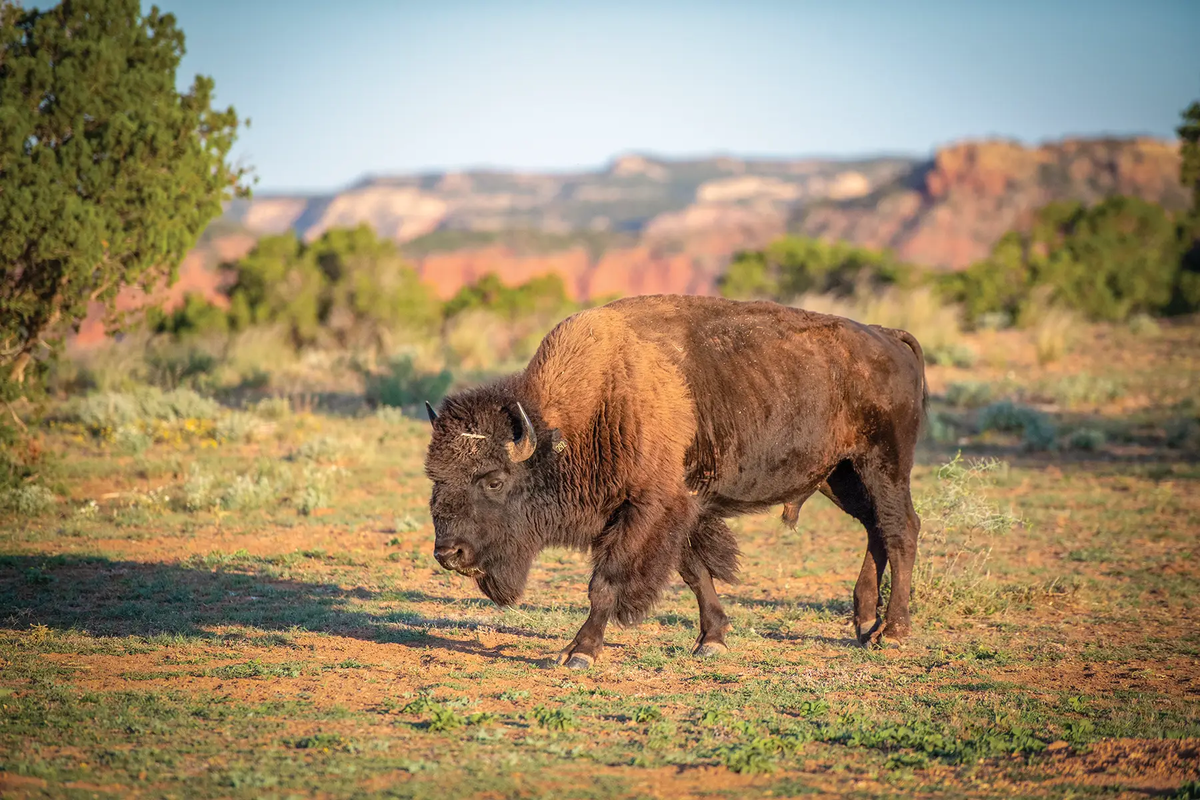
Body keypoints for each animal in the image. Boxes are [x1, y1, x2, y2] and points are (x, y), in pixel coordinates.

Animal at [423, 294, 926, 669]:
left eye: (493, 480)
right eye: (434, 476)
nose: (449, 554)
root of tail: (889, 336)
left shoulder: (648, 508)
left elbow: (605, 581)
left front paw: (579, 653)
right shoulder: (680, 508)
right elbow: (694, 572)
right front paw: (712, 640)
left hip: (883, 465)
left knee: (901, 530)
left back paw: (892, 632)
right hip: (839, 476)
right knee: (875, 529)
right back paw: (864, 622)